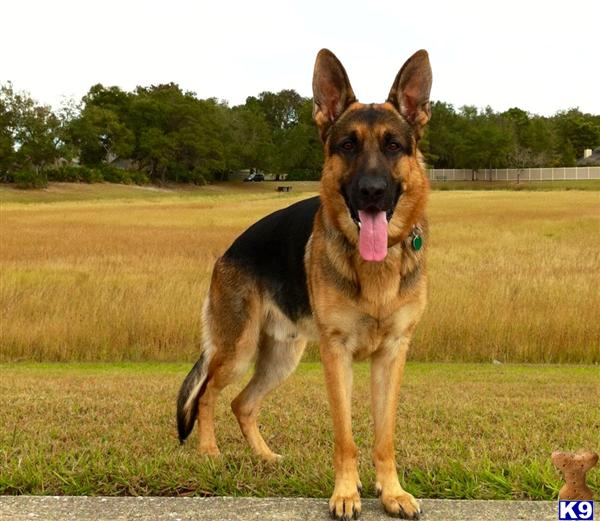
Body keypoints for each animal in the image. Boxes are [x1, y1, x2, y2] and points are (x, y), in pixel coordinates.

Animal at [176, 47, 434, 516]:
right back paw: (210, 454)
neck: (374, 268)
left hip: (282, 356)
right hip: (238, 350)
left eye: (393, 146)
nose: (372, 192)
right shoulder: (337, 354)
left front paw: (392, 492)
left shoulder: (392, 354)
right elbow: (345, 436)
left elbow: (384, 436)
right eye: (347, 145)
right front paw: (346, 494)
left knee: (243, 403)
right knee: (208, 395)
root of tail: (227, 252)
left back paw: (265, 457)